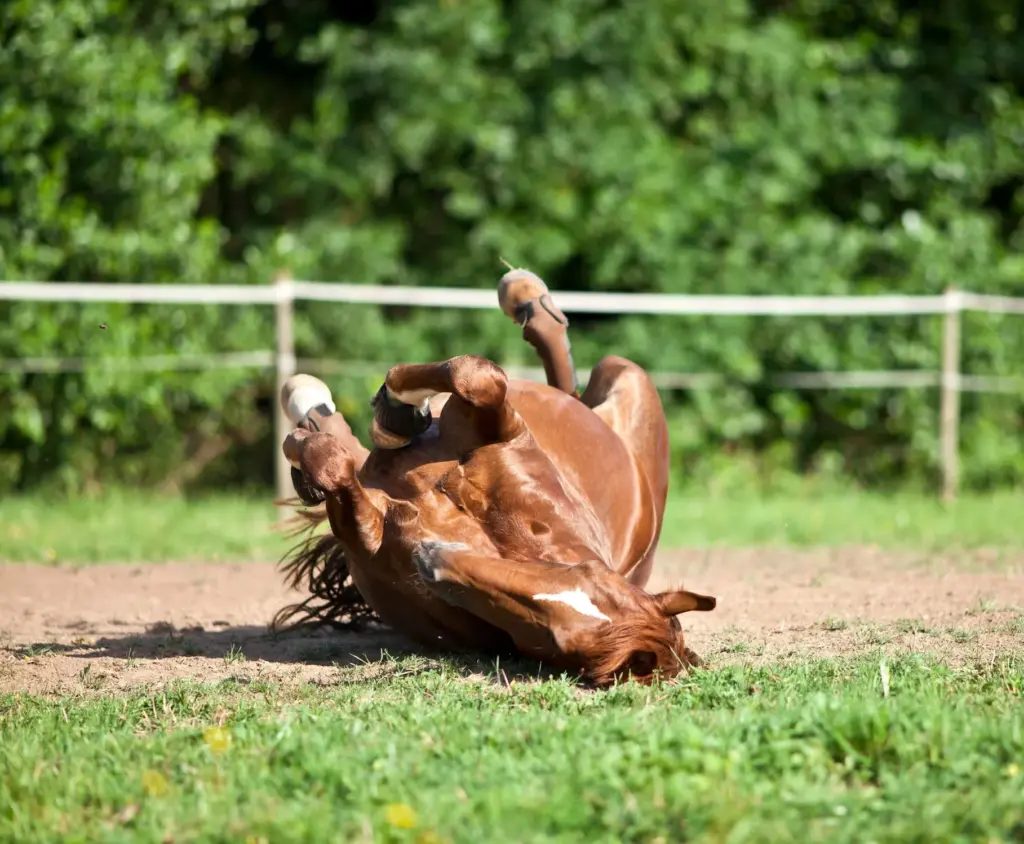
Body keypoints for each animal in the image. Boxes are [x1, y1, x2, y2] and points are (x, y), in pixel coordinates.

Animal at [274, 268, 716, 686]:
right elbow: (476, 375)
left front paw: (306, 451)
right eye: (586, 574)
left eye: (554, 638)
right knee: (563, 381)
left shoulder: (368, 534)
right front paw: (394, 413)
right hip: (616, 374)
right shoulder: (503, 425)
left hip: (633, 384)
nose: (433, 558)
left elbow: (332, 467)